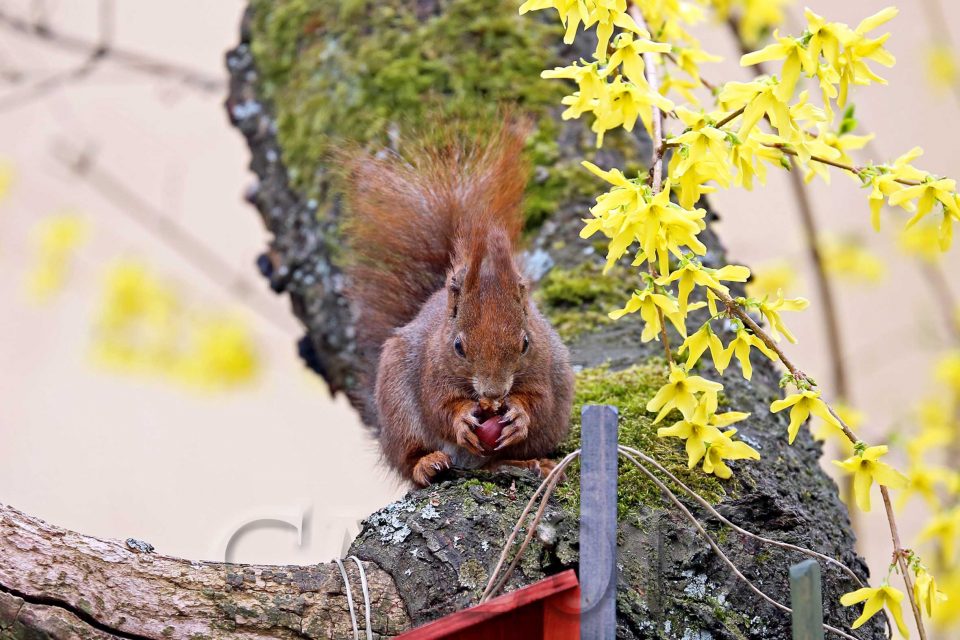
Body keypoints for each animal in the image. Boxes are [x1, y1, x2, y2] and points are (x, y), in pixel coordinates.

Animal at [341, 121, 575, 487]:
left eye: (525, 343)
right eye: (458, 347)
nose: (493, 394)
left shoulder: (543, 367)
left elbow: (539, 401)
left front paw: (519, 415)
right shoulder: (432, 370)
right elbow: (440, 406)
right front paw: (461, 418)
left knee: (500, 460)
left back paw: (532, 463)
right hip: (397, 407)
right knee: (408, 456)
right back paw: (427, 464)